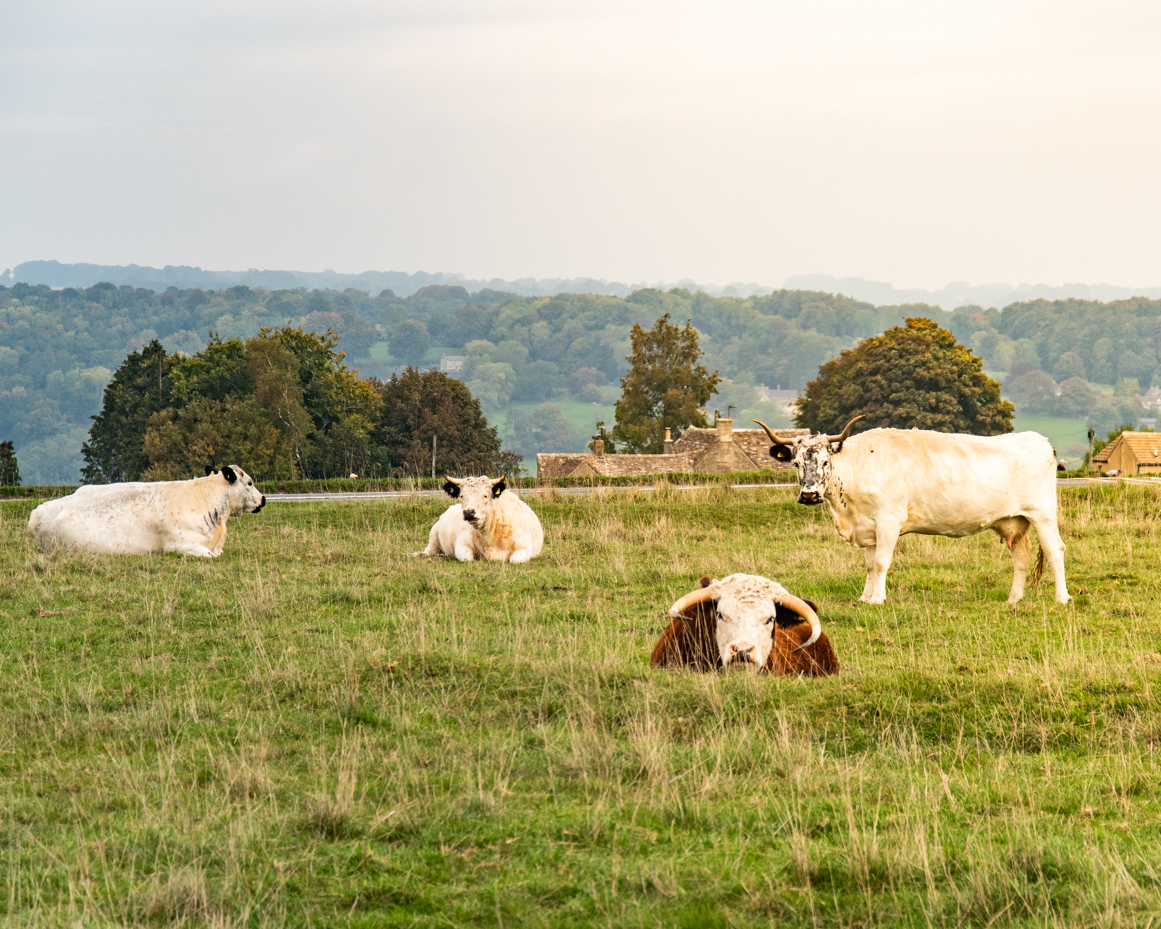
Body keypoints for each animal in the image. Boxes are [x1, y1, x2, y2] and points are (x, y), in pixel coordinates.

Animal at [413, 474, 544, 563]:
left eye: (485, 495)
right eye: (461, 496)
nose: (468, 512)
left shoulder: (524, 547)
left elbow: (515, 560)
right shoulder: (462, 543)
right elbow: (467, 558)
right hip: (434, 534)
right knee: (430, 551)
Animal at [754, 417, 1070, 605]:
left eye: (824, 462)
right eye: (796, 463)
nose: (809, 495)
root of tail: (1038, 440)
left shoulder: (889, 521)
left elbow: (882, 563)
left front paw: (878, 599)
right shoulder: (868, 526)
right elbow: (870, 565)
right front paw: (865, 598)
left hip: (1042, 514)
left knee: (1054, 550)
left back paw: (1062, 597)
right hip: (1013, 521)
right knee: (1021, 556)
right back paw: (1014, 599)